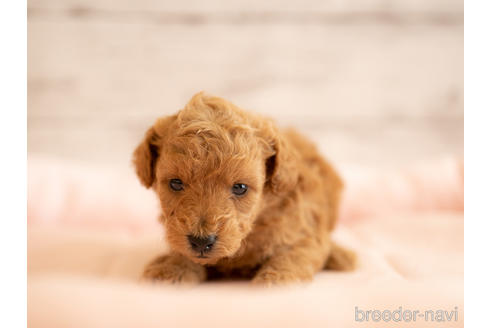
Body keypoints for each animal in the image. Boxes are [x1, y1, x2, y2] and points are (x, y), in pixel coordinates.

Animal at [135, 92, 356, 284]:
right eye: (175, 183)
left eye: (240, 187)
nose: (201, 242)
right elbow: (182, 253)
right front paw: (170, 270)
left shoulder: (302, 230)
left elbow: (293, 256)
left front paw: (274, 282)